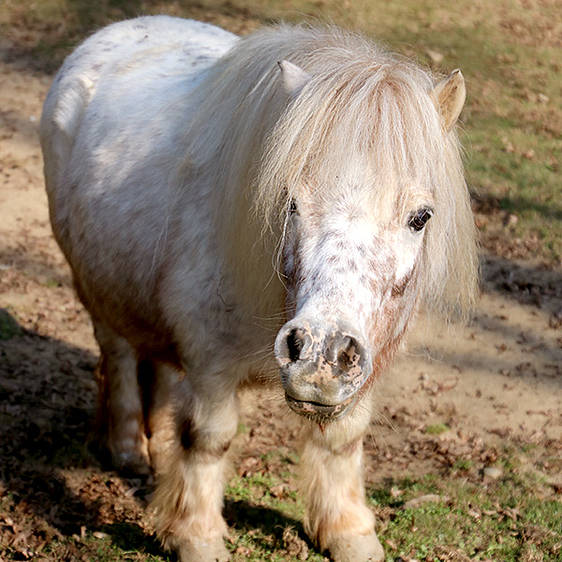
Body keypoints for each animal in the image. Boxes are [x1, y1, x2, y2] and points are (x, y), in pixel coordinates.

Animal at [40, 14, 476, 560]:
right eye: (290, 202)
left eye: (421, 217)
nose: (321, 356)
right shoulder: (210, 360)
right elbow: (209, 438)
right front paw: (197, 537)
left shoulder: (366, 361)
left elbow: (343, 438)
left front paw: (349, 532)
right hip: (97, 286)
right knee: (117, 353)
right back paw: (126, 448)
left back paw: (156, 448)